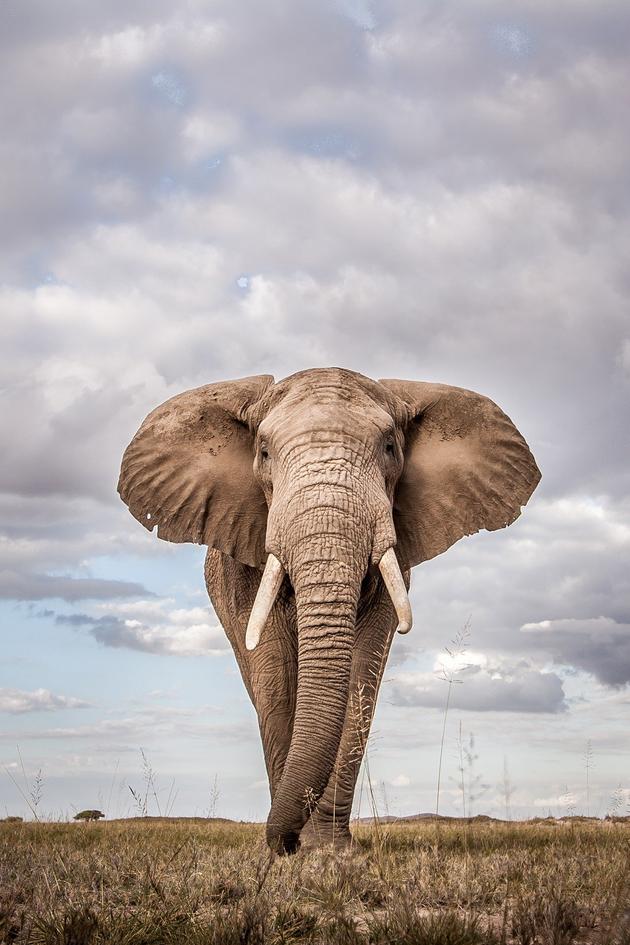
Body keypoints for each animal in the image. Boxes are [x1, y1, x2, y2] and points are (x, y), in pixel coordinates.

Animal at [118, 367, 540, 854]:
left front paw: (329, 851)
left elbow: (360, 677)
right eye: (264, 452)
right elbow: (276, 677)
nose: (284, 843)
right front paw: (293, 850)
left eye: (390, 447)